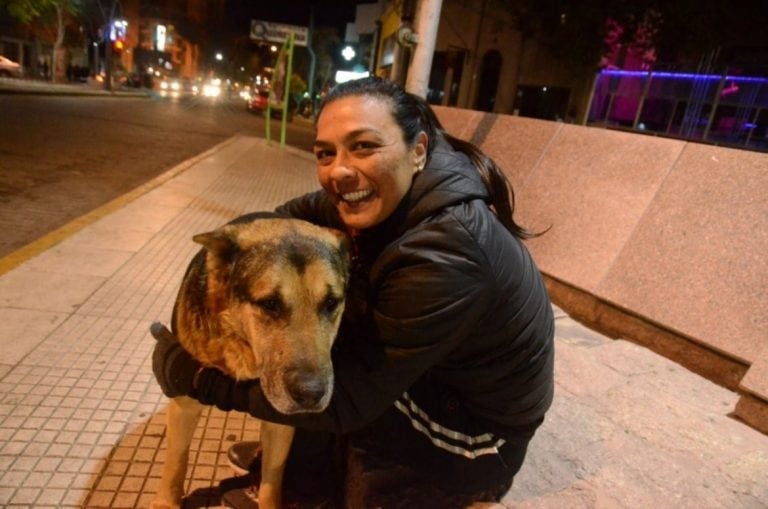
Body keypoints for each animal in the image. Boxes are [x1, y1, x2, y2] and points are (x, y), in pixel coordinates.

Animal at [148, 212, 352, 508]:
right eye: (270, 303)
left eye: (331, 303)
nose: (311, 395)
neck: (240, 342)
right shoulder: (184, 403)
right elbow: (176, 461)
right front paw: (166, 502)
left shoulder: (280, 424)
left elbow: (272, 480)